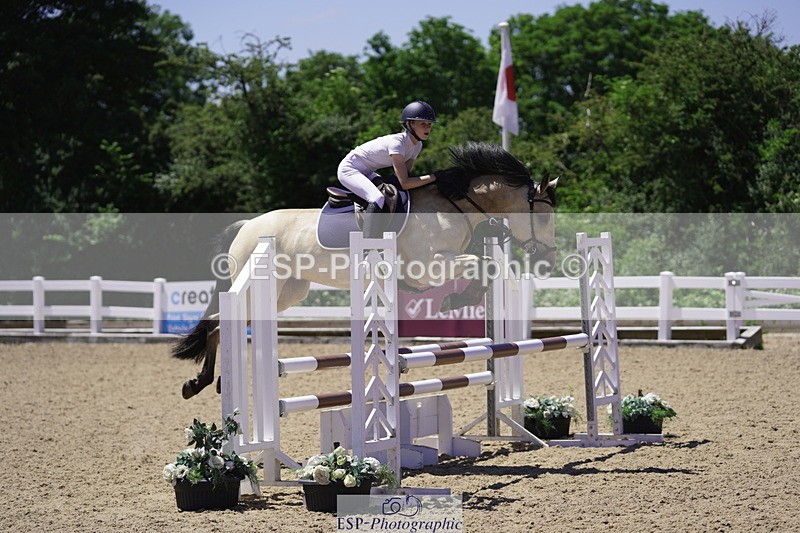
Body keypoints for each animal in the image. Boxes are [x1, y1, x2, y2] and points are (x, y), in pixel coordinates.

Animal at [172, 142, 558, 399]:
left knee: (226, 322)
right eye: (543, 216)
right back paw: (203, 383)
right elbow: (481, 265)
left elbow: (486, 267)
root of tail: (247, 226)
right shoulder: (428, 268)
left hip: (287, 292)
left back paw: (214, 383)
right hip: (260, 284)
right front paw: (456, 301)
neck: (455, 205)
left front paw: (460, 299)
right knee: (219, 322)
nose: (548, 259)